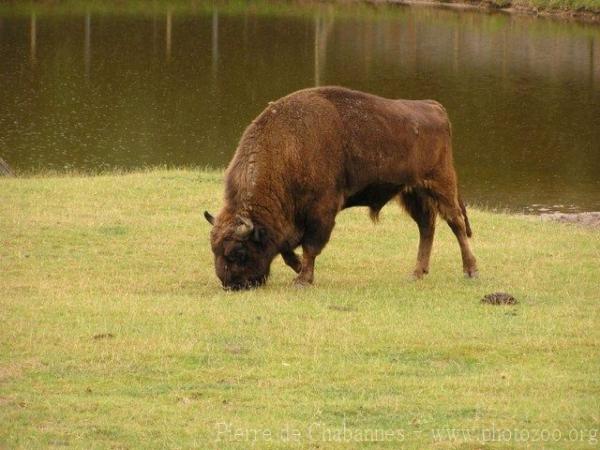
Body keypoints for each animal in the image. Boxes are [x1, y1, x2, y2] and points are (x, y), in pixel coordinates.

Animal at [205, 86, 478, 290]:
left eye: (238, 252)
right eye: (214, 250)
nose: (231, 284)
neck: (287, 149)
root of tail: (434, 107)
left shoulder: (321, 212)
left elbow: (311, 246)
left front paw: (302, 279)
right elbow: (287, 248)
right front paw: (298, 269)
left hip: (441, 184)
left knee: (455, 223)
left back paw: (471, 270)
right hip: (412, 192)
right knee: (426, 227)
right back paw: (417, 273)